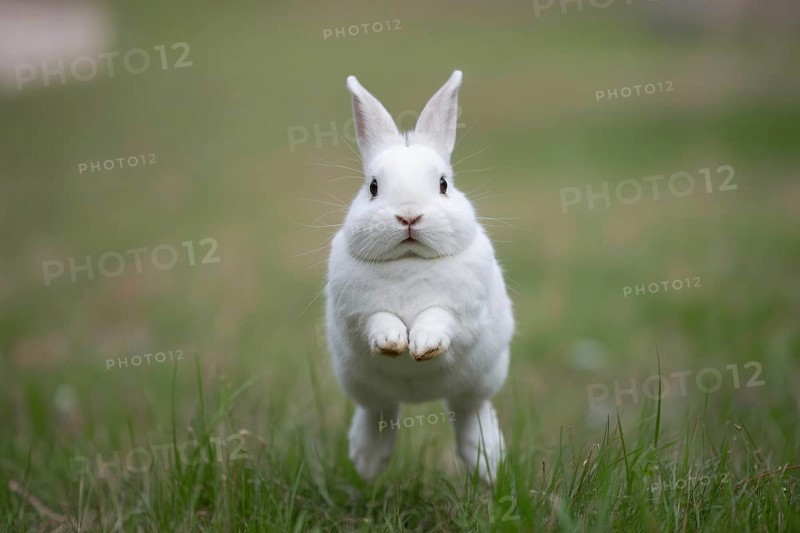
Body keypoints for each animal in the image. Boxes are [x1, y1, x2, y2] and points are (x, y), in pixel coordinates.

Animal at [325, 70, 514, 484]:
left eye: (443, 184)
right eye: (373, 187)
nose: (409, 216)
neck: (409, 261)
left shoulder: (461, 314)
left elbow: (437, 318)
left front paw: (423, 344)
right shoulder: (358, 315)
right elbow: (380, 320)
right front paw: (394, 341)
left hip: (482, 377)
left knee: (469, 410)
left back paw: (486, 464)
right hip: (360, 384)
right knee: (379, 411)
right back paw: (367, 461)